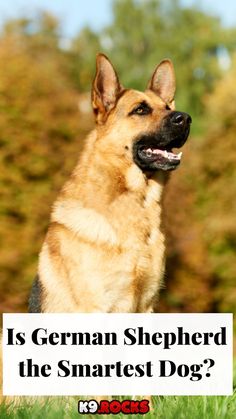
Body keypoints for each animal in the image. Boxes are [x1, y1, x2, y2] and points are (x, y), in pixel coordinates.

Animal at [28, 53, 191, 316]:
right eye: (140, 110)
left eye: (168, 108)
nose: (186, 118)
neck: (136, 204)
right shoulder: (95, 306)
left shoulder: (146, 305)